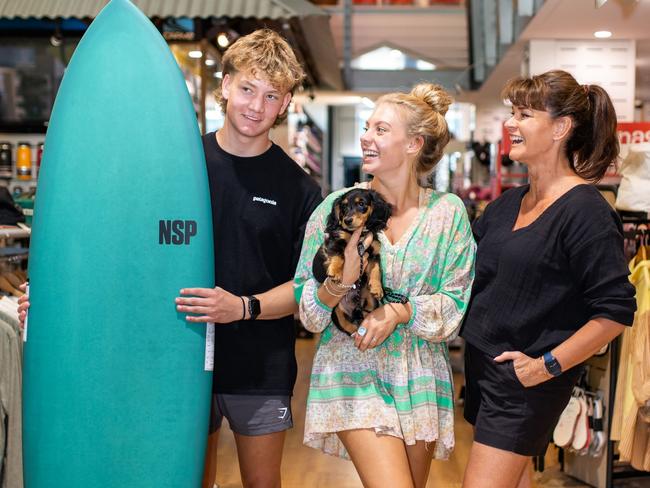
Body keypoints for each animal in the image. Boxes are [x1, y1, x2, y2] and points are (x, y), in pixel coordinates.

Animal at [312, 188, 390, 336]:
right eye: (343, 207)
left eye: (361, 204)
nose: (347, 220)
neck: (359, 236)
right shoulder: (336, 241)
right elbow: (339, 256)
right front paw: (335, 271)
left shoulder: (374, 253)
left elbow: (376, 269)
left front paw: (377, 287)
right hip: (335, 309)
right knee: (344, 324)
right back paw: (355, 332)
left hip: (370, 302)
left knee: (366, 312)